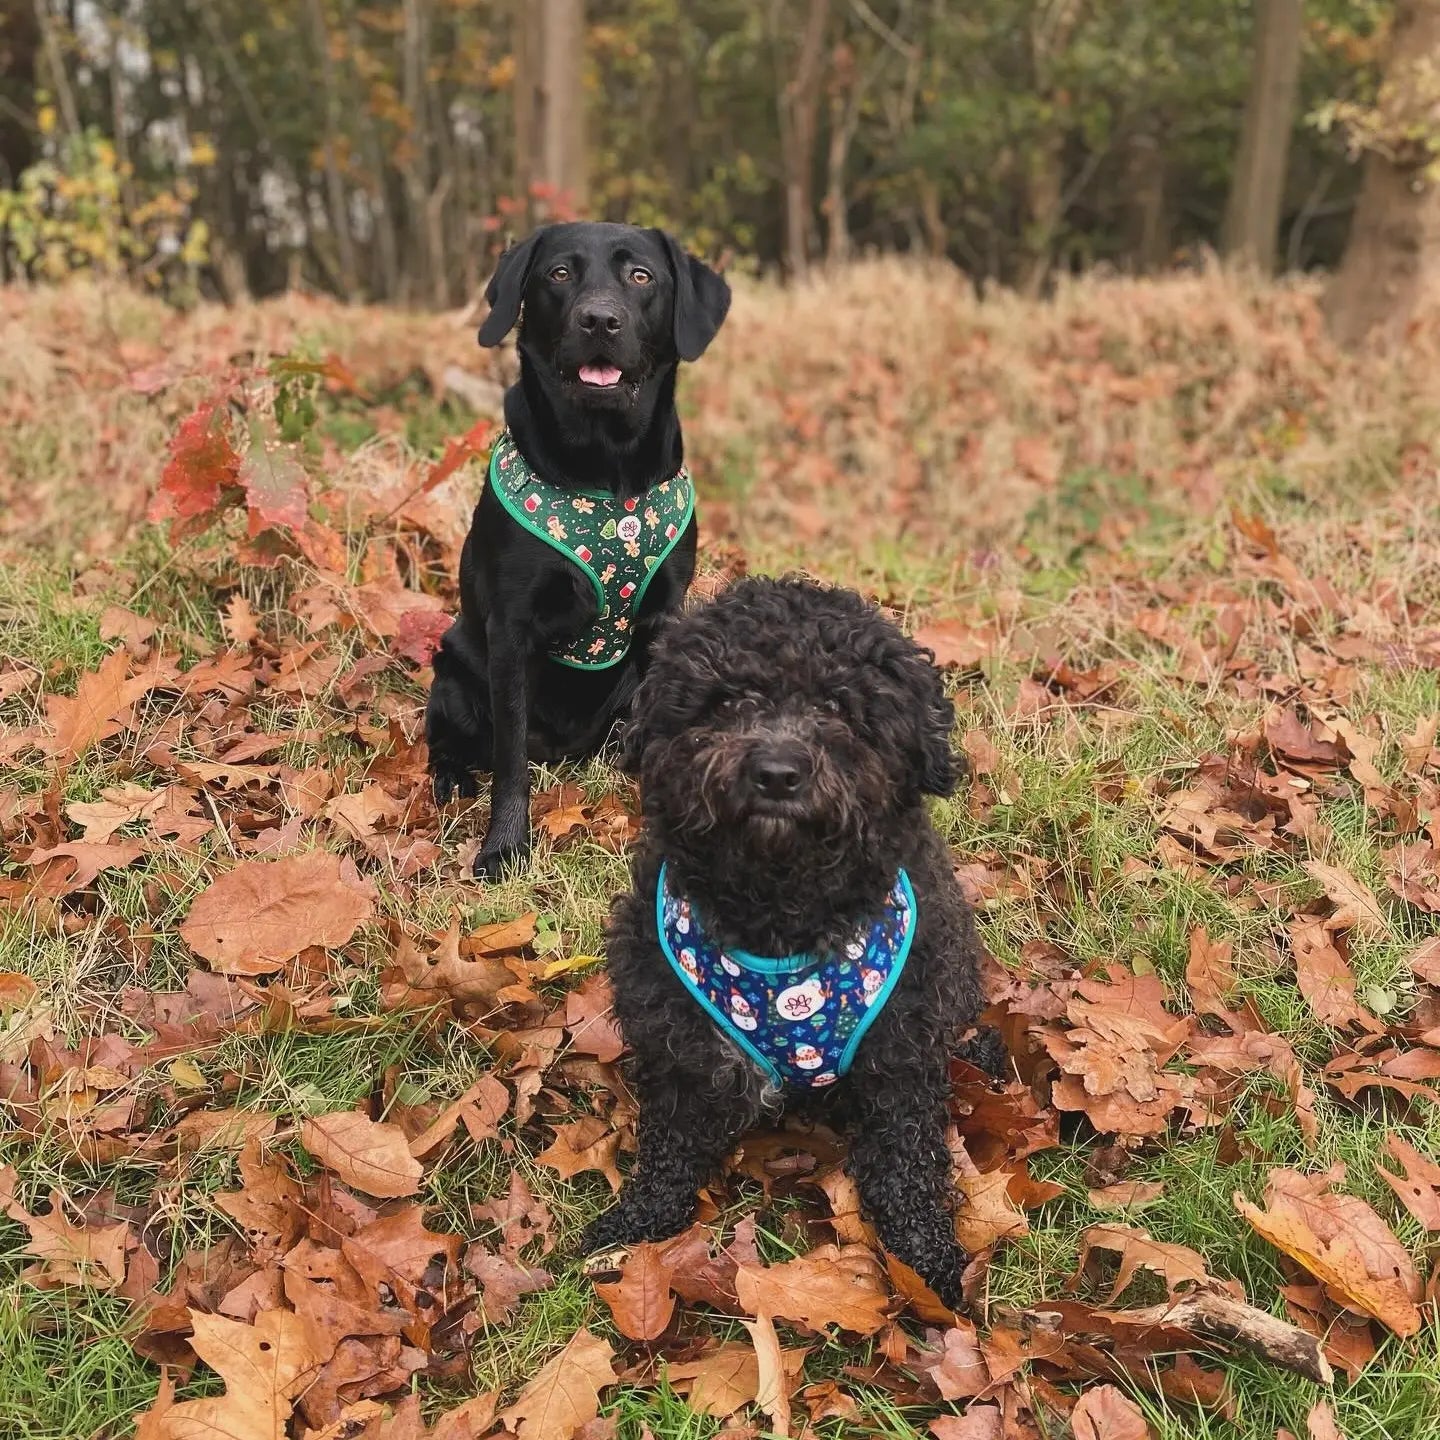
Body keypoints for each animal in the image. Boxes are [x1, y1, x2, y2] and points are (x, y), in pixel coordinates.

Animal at [581, 570, 1002, 1307]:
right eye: (727, 699)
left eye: (835, 704)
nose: (777, 772)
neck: (780, 913)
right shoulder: (679, 1046)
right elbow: (666, 1153)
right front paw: (634, 1229)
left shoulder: (902, 1056)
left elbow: (907, 1167)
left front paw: (926, 1264)